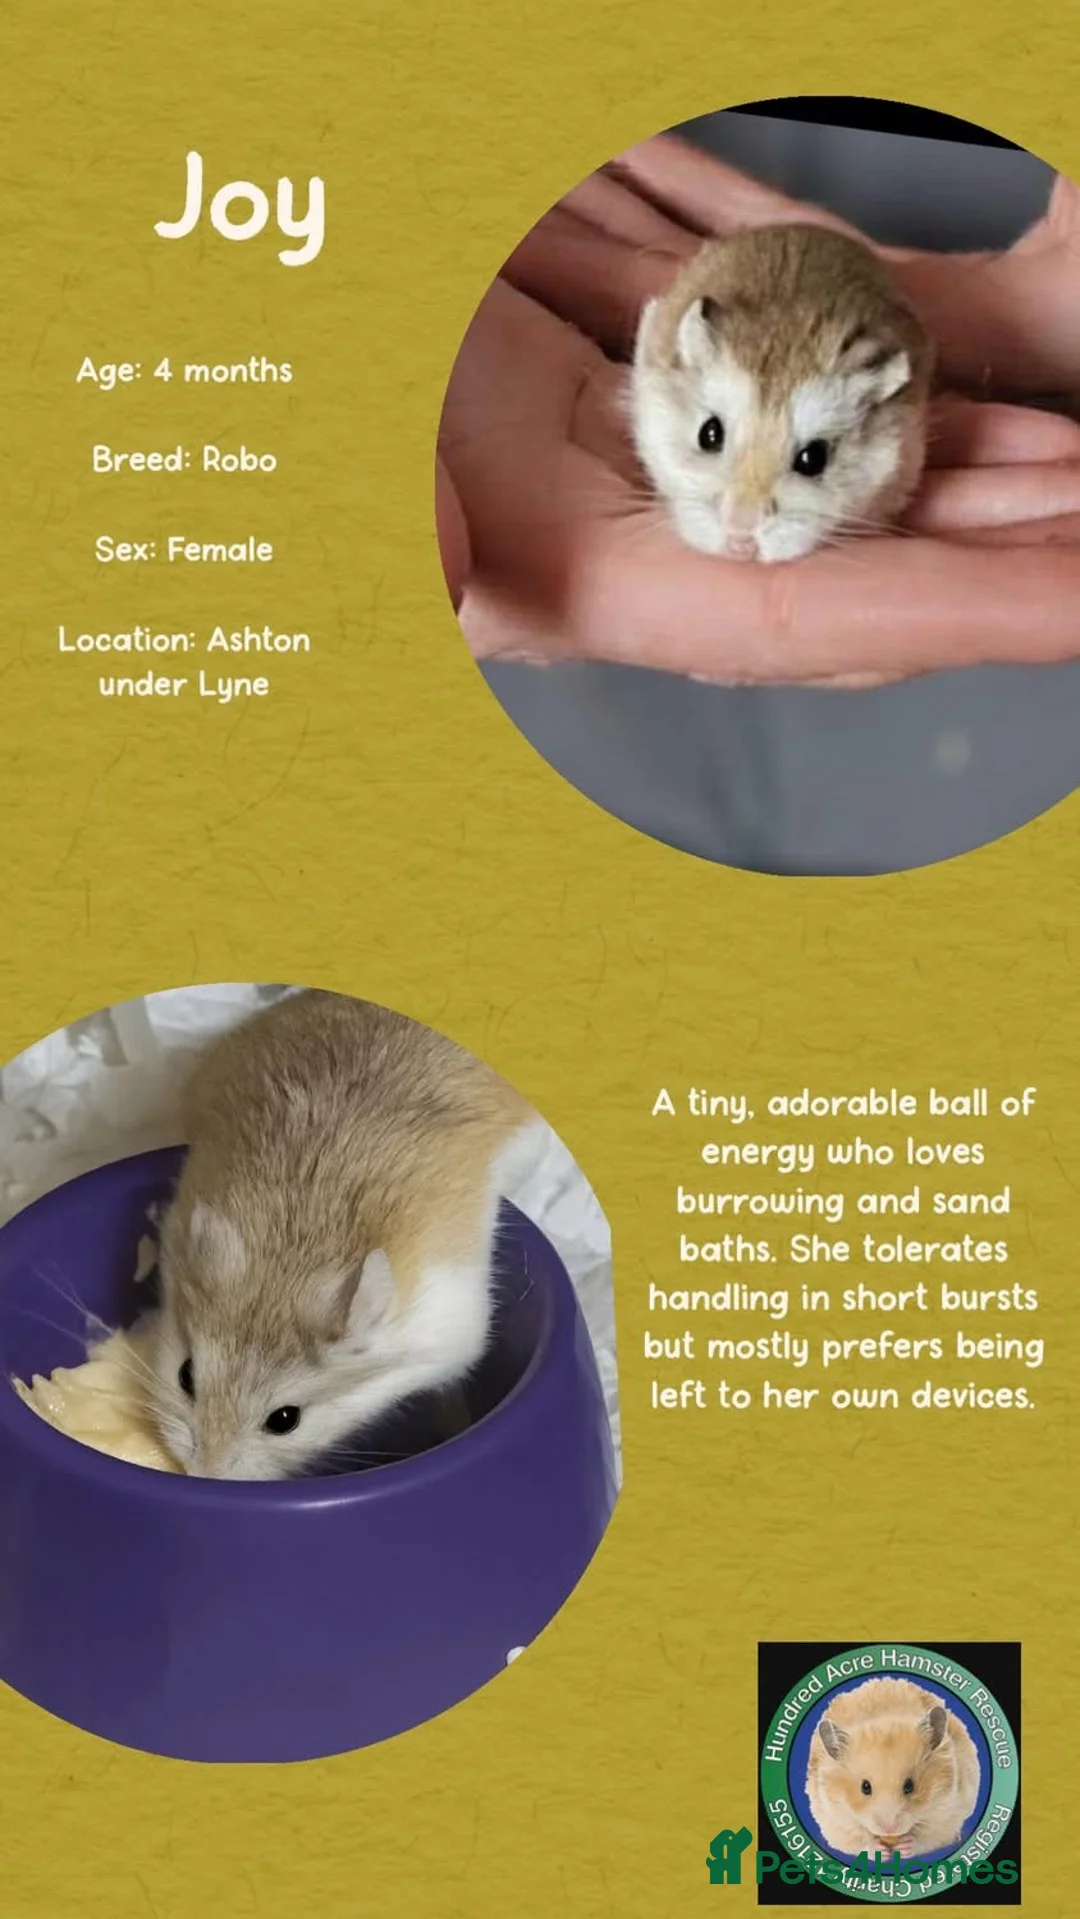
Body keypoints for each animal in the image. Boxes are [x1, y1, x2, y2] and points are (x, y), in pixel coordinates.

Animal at [806, 1677, 981, 1860]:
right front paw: (880, 1852)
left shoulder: (947, 1812)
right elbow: (857, 1841)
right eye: (865, 1787)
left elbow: (928, 1838)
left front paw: (904, 1847)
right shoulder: (834, 1820)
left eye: (910, 1786)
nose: (889, 1829)